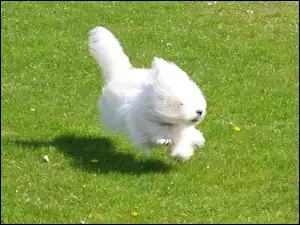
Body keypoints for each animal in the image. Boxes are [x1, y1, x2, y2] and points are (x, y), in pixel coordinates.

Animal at [89, 26, 206, 162]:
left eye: (195, 99)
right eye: (181, 104)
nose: (199, 111)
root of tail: (121, 73)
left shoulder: (183, 131)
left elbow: (183, 141)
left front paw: (179, 155)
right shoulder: (145, 125)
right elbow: (155, 133)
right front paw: (164, 140)